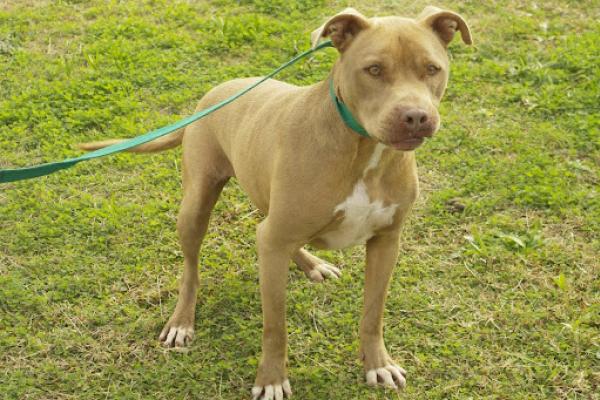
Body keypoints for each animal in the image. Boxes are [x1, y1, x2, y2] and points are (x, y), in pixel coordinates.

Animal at [79, 7, 474, 400]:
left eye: (432, 69)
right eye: (374, 69)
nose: (416, 116)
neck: (362, 149)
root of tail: (213, 94)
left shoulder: (386, 241)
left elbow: (373, 314)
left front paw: (378, 364)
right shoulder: (274, 247)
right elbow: (275, 326)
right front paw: (270, 379)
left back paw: (312, 264)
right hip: (196, 205)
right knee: (191, 269)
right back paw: (182, 321)